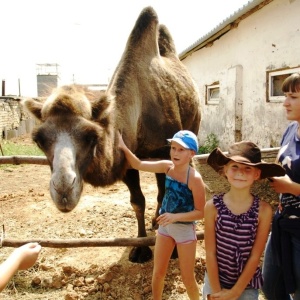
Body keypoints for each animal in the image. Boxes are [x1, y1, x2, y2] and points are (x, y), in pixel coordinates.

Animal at [23, 5, 200, 262]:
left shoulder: (164, 152)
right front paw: (141, 248)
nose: (63, 191)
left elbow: (166, 195)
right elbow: (137, 202)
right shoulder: (127, 162)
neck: (138, 113)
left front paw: (171, 248)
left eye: (91, 135)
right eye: (39, 140)